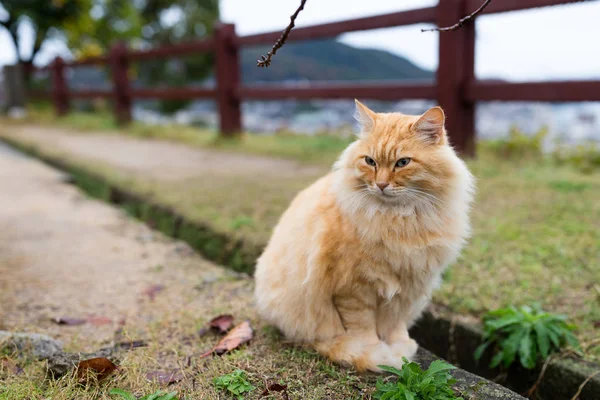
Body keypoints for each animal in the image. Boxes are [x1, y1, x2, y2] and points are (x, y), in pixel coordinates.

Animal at [253, 100, 474, 372]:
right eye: (370, 161)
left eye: (402, 163)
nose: (381, 185)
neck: (399, 220)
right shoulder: (354, 289)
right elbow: (363, 327)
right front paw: (376, 350)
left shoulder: (409, 287)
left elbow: (395, 324)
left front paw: (398, 345)